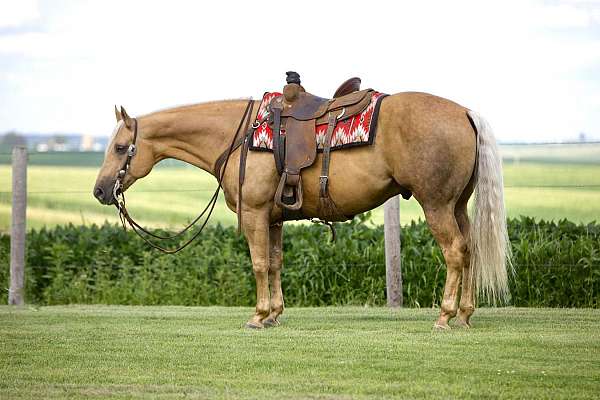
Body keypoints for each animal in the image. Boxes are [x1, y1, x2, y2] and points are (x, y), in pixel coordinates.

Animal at [92, 92, 510, 330]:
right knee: (470, 250)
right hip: (457, 205)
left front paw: (258, 316)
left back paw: (444, 316)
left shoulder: (255, 215)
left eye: (119, 148)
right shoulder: (274, 218)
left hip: (436, 204)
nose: (100, 190)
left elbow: (259, 264)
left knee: (454, 252)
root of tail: (466, 112)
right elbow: (276, 263)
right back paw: (465, 314)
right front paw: (275, 313)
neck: (240, 136)